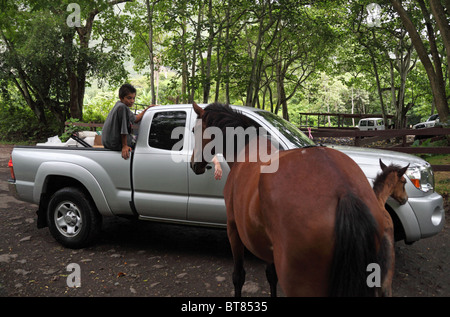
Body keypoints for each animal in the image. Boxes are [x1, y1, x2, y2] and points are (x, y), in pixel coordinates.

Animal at [192, 102, 410, 296]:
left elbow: (238, 277)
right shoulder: (268, 245)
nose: (195, 165)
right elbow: (271, 276)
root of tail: (344, 190)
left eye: (194, 131)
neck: (247, 150)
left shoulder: (233, 229)